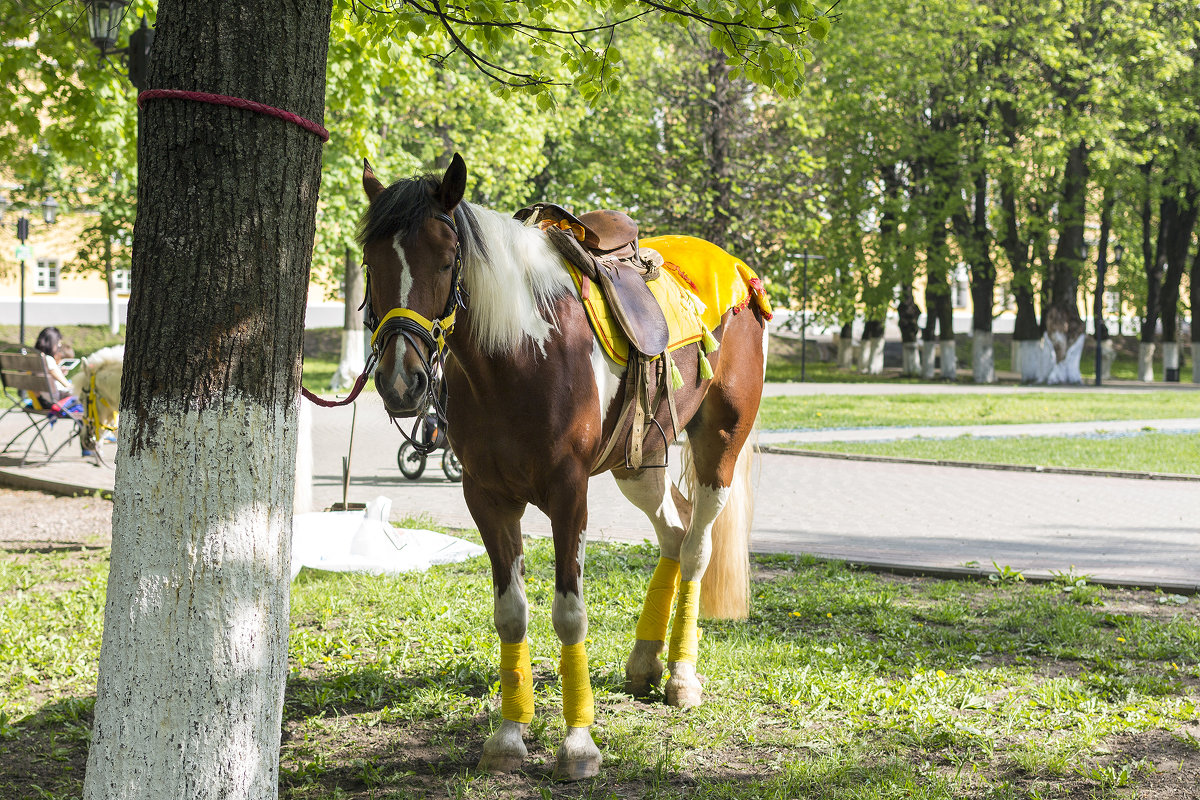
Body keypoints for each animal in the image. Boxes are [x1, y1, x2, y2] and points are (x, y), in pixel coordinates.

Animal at [357, 155, 768, 782]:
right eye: (370, 262)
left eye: (448, 260)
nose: (402, 381)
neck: (519, 358)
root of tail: (740, 272)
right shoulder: (486, 497)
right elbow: (511, 613)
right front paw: (509, 735)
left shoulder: (569, 495)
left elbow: (569, 614)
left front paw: (578, 744)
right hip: (638, 461)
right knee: (673, 535)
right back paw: (645, 662)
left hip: (718, 445)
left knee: (697, 547)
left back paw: (681, 676)